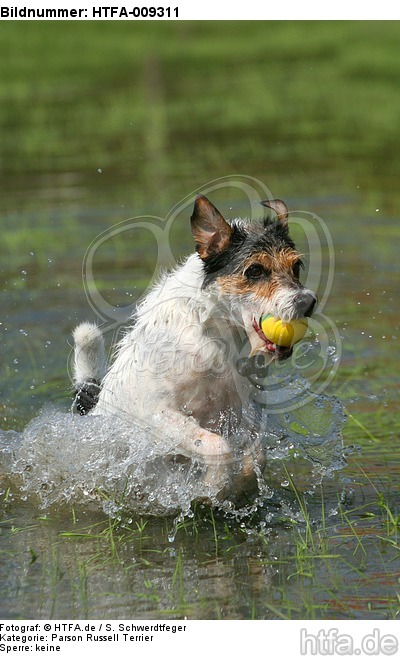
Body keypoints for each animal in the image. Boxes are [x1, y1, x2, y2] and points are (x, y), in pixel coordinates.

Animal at [71, 195, 316, 502]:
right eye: (255, 270)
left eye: (296, 267)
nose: (308, 302)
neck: (214, 334)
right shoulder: (156, 414)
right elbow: (216, 446)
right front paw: (211, 488)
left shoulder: (242, 411)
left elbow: (256, 453)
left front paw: (240, 484)